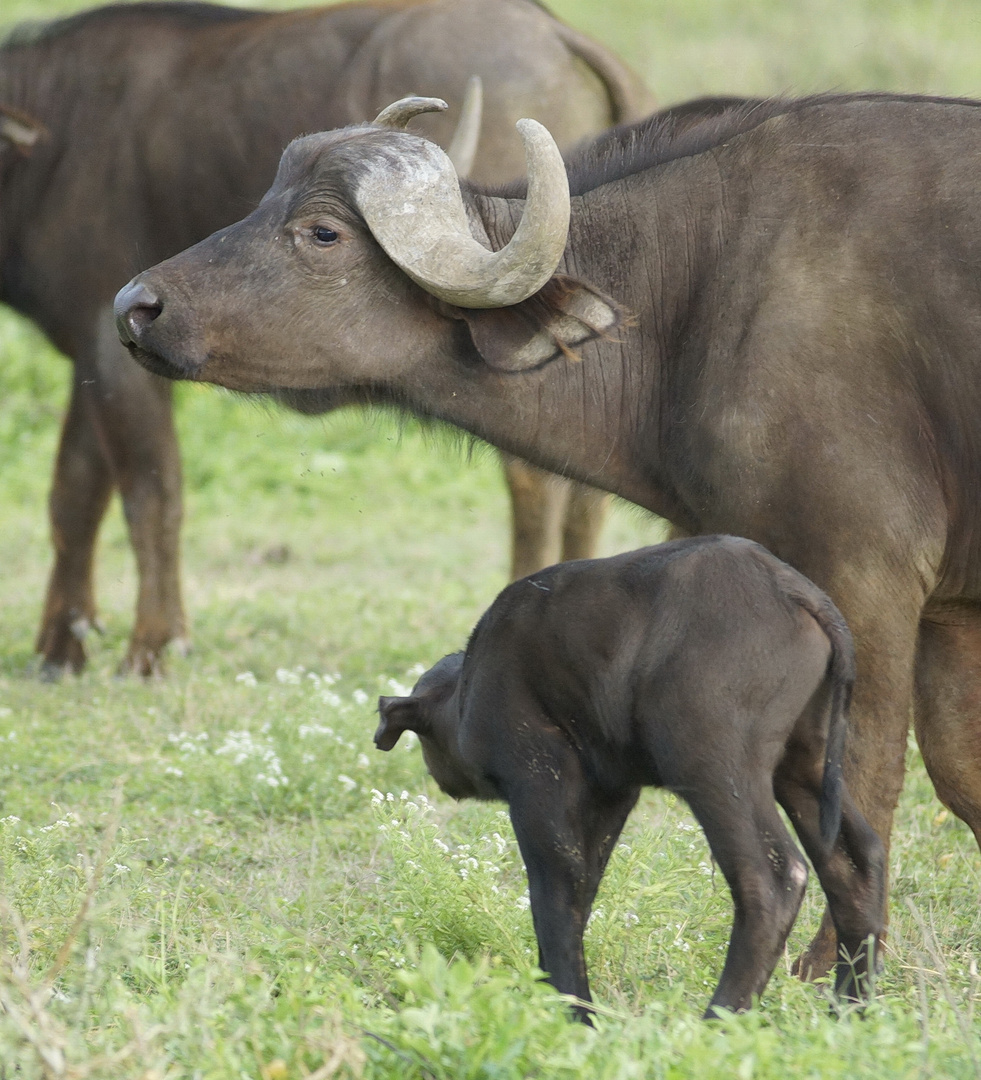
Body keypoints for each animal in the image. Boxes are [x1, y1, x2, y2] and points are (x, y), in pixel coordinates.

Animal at [3, 0, 656, 673]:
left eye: (323, 233)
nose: (135, 302)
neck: (56, 135)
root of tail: (557, 32)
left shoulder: (107, 345)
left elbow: (149, 492)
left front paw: (153, 647)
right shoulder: (92, 349)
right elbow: (74, 491)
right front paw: (60, 647)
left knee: (536, 481)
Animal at [371, 537, 885, 1019]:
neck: (468, 690)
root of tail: (795, 590)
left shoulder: (536, 784)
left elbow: (555, 895)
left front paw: (575, 1012)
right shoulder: (612, 795)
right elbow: (584, 890)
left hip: (717, 770)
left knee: (773, 879)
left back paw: (717, 1019)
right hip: (804, 768)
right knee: (857, 862)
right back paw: (849, 1009)